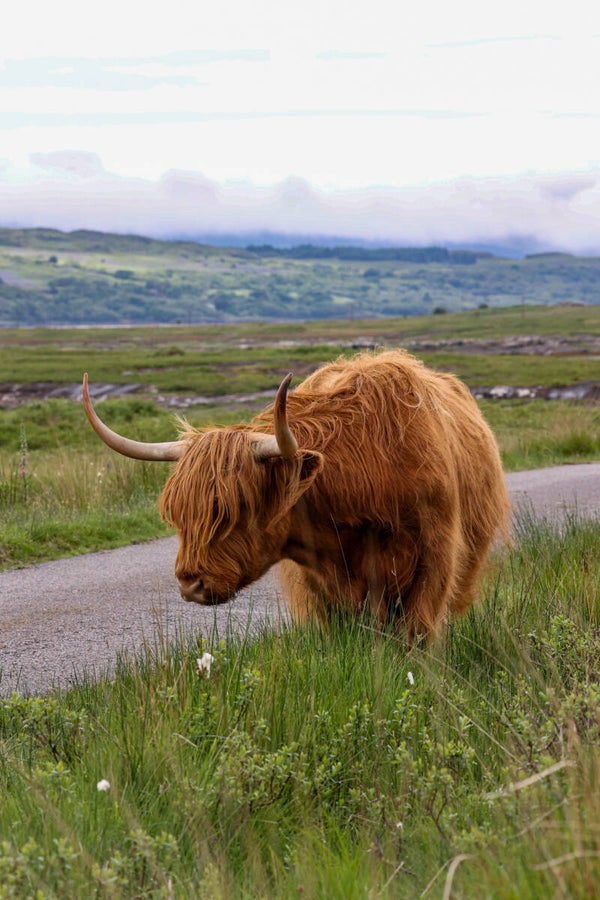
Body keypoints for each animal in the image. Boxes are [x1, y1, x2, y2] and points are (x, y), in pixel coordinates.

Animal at [82, 350, 509, 640]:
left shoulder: (433, 559)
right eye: (178, 514)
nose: (191, 584)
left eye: (236, 510)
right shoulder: (320, 583)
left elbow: (414, 632)